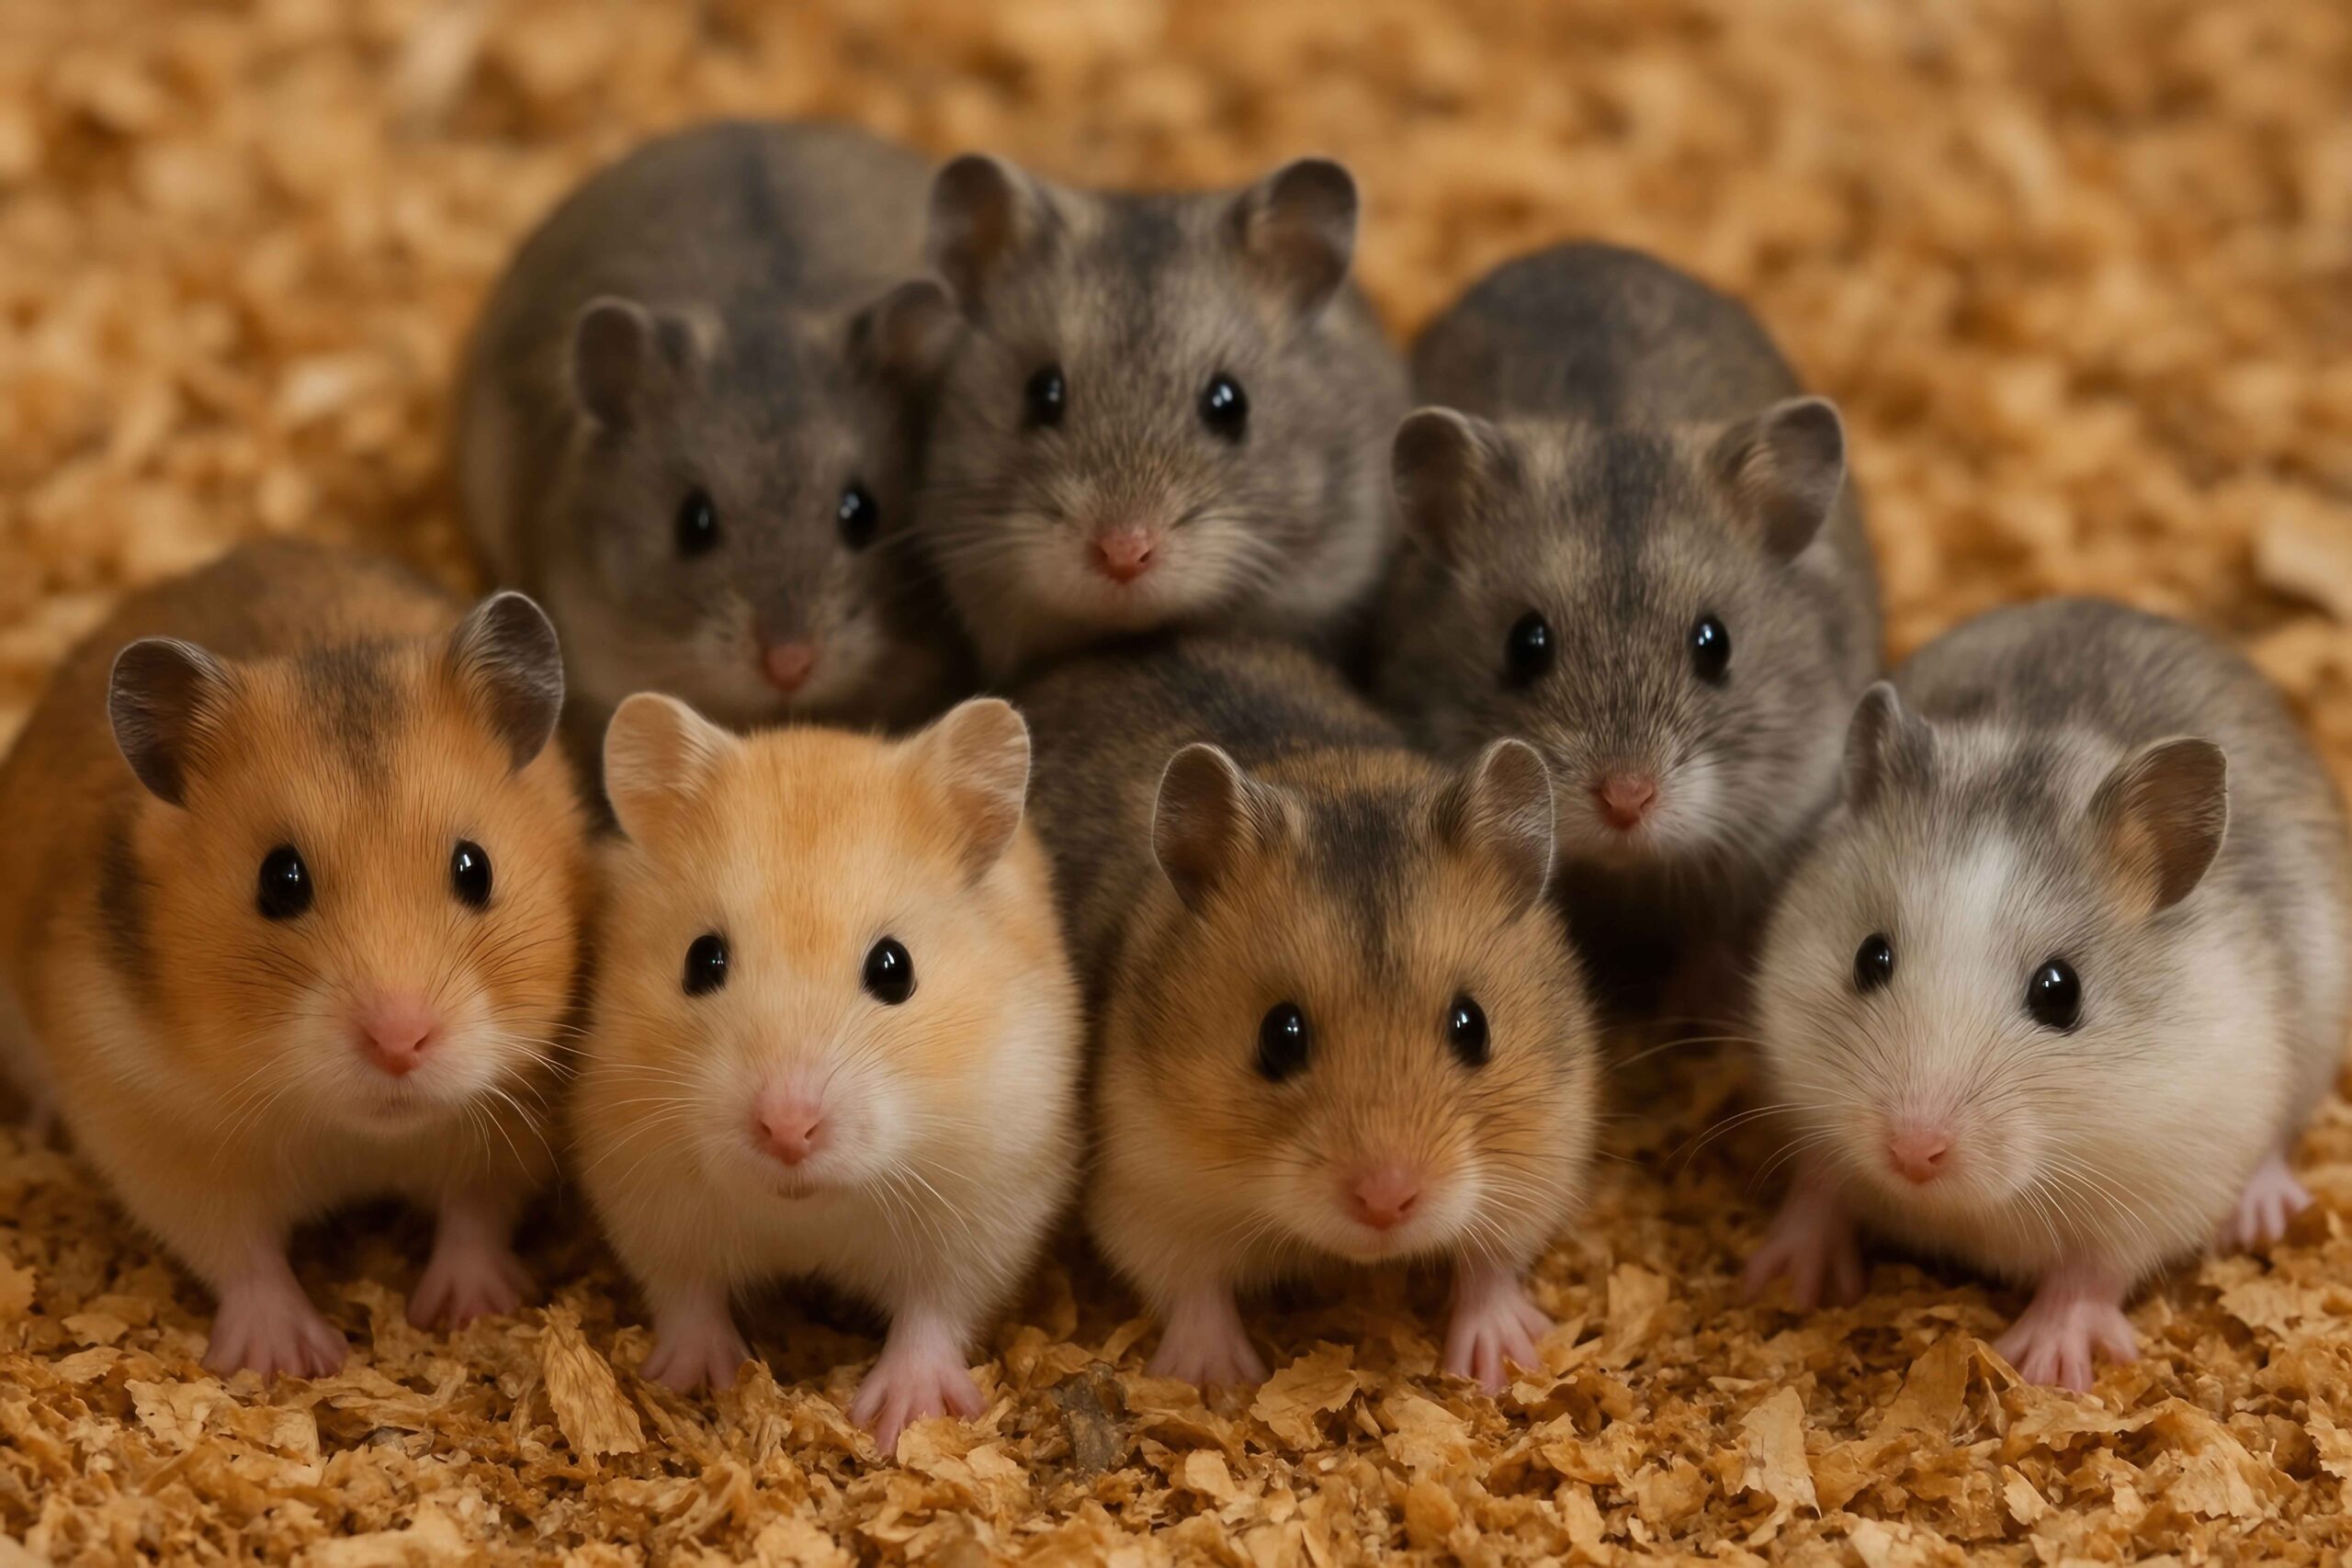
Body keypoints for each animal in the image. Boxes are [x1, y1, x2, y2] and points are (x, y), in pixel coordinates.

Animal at [0, 541, 589, 1377]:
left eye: (475, 868)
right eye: (279, 880)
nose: (399, 1041)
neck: (360, 1131)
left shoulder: (506, 1124)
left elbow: (474, 1213)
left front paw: (471, 1311)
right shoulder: (154, 1127)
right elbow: (243, 1254)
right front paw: (291, 1360)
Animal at [574, 694, 1082, 1454]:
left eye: (895, 968)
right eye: (702, 959)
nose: (787, 1128)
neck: (806, 1208)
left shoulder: (990, 1200)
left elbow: (935, 1310)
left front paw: (900, 1415)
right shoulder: (645, 1189)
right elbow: (687, 1292)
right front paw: (694, 1380)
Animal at [1015, 637, 1601, 1389]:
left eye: (1473, 1027)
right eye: (1279, 1036)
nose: (1386, 1201)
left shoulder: (1544, 1151)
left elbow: (1491, 1264)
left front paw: (1499, 1360)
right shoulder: (1144, 1183)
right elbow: (1193, 1287)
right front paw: (1216, 1379)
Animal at [1744, 599, 2352, 1389]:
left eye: (2060, 993)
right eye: (1869, 956)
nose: (1913, 1152)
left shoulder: (2162, 1181)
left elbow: (2090, 1274)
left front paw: (2045, 1368)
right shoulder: (1808, 1100)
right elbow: (1819, 1189)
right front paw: (1783, 1279)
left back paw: (2262, 1213)